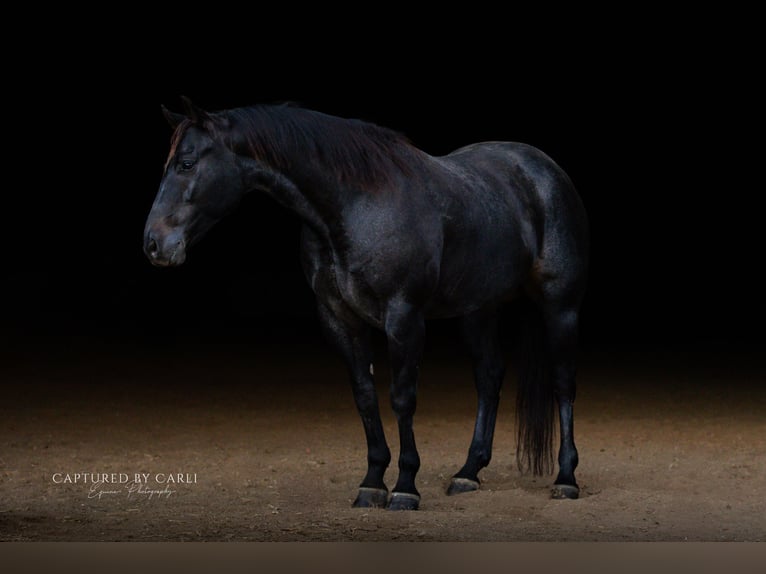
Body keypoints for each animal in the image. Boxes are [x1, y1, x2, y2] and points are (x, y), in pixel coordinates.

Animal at [143, 97, 589, 510]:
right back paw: (467, 473)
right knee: (489, 377)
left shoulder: (404, 317)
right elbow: (364, 396)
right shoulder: (339, 319)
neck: (355, 205)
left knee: (563, 383)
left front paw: (405, 488)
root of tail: (542, 169)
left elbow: (402, 397)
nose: (153, 244)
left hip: (560, 305)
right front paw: (372, 483)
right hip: (478, 309)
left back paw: (566, 479)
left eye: (186, 163)